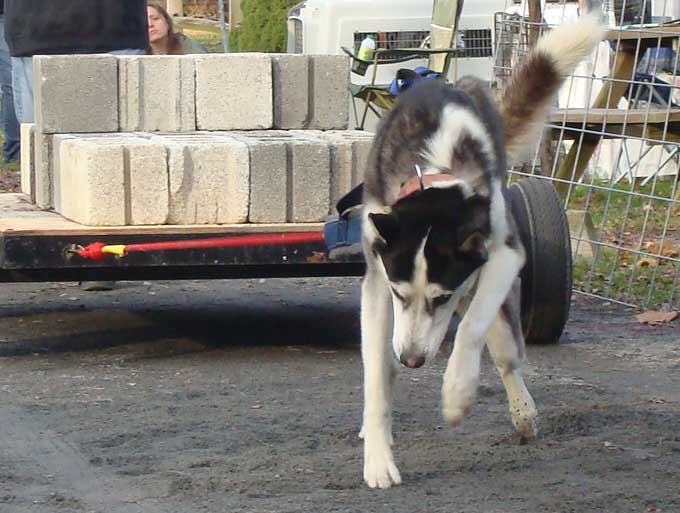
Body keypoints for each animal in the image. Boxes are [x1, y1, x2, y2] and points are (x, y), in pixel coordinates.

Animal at [358, 16, 604, 488]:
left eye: (441, 297)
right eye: (399, 295)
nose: (412, 360)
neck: (435, 167)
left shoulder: (504, 255)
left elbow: (471, 327)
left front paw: (457, 393)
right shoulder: (379, 280)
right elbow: (377, 375)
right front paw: (378, 457)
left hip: (500, 299)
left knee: (506, 356)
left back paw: (522, 412)